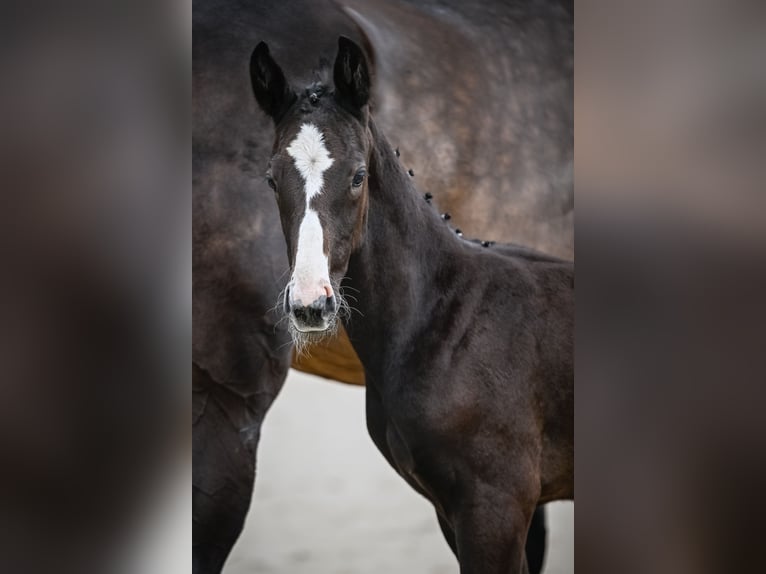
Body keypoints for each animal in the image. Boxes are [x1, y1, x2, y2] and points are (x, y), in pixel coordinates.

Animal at [195, 2, 572, 572]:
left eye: (357, 176)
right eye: (270, 179)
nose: (310, 304)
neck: (447, 316)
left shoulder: (497, 507)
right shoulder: (469, 510)